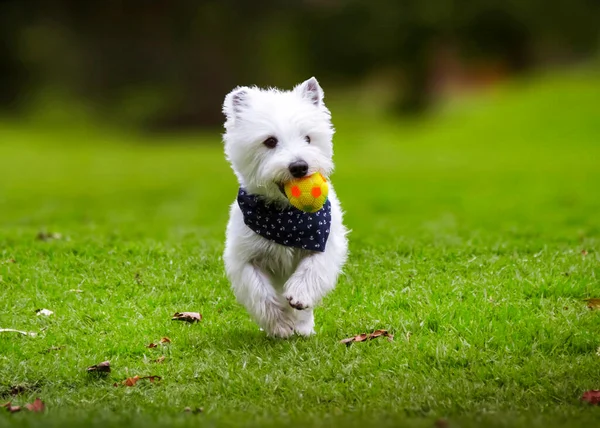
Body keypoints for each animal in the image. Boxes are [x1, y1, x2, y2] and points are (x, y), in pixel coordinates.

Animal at [223, 77, 350, 338]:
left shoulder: (324, 240)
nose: (299, 166)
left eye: (308, 138)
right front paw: (280, 325)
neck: (286, 218)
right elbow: (260, 292)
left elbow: (313, 266)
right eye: (270, 141)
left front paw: (299, 295)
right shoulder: (243, 258)